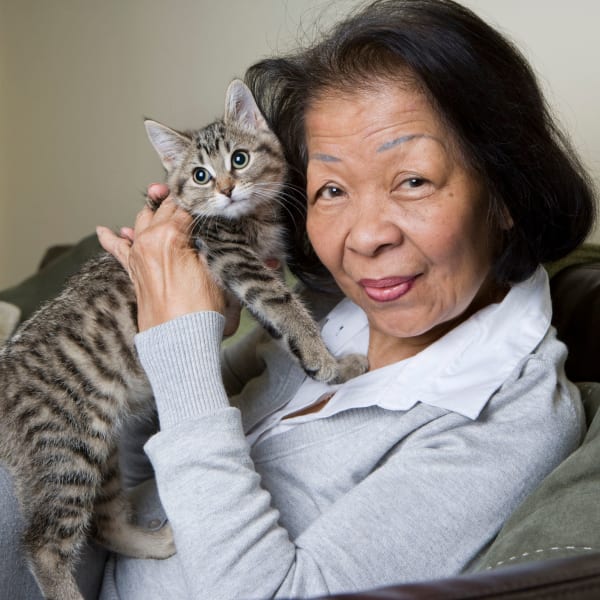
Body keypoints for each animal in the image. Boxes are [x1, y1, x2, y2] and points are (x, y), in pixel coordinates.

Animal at [0, 79, 368, 600]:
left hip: (97, 446)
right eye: (199, 175)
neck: (251, 219)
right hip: (65, 446)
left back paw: (152, 542)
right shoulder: (232, 256)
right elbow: (283, 305)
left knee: (103, 521)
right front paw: (327, 359)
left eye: (239, 159)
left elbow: (284, 314)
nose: (227, 189)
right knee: (44, 543)